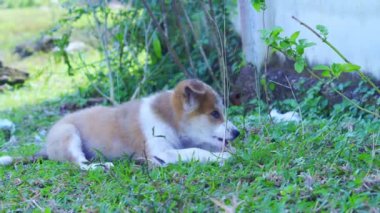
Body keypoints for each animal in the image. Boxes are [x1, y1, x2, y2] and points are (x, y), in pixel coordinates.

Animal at [0, 79, 240, 170]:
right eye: (214, 114)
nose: (237, 133)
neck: (169, 117)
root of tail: (46, 147)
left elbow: (200, 146)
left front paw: (227, 151)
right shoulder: (162, 152)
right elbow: (195, 151)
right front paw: (221, 157)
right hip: (69, 134)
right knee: (80, 164)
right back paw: (102, 166)